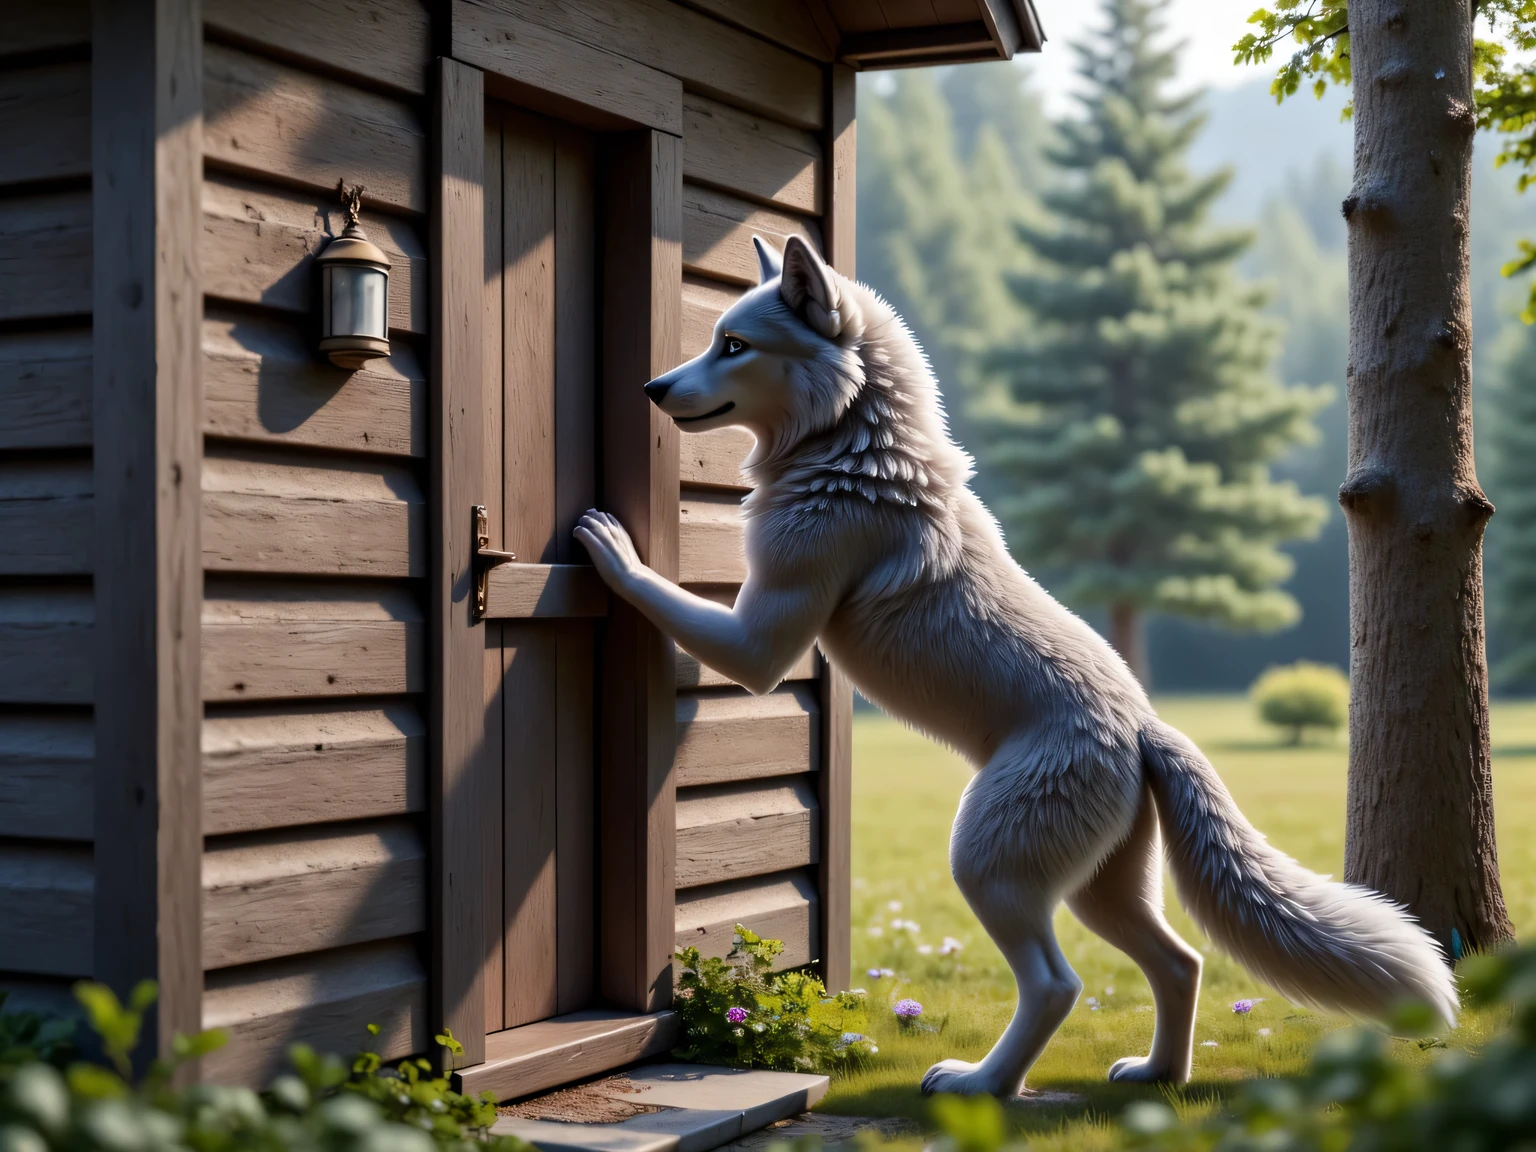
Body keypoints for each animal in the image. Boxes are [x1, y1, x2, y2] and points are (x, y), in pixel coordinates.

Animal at [574, 234, 1458, 1097]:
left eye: (734, 345)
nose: (653, 387)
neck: (856, 449)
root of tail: (1146, 729)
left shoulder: (761, 642)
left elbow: (672, 600)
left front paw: (611, 550)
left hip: (988, 865)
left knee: (1057, 985)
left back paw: (981, 1084)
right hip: (1101, 888)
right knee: (1180, 963)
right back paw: (1157, 1075)